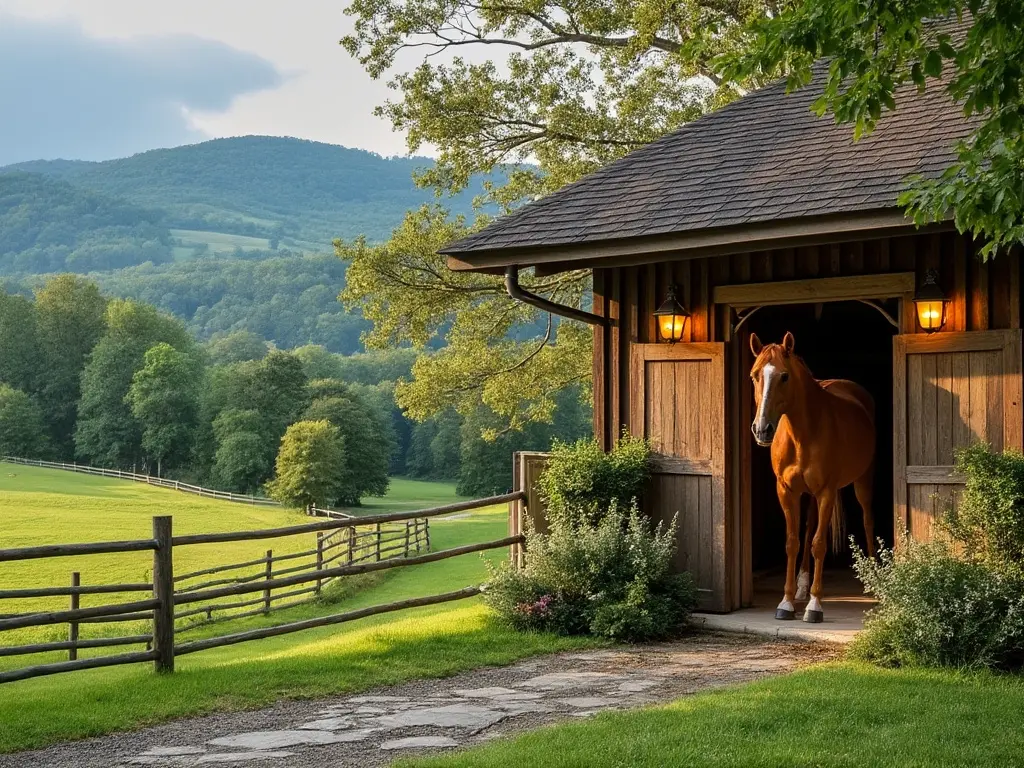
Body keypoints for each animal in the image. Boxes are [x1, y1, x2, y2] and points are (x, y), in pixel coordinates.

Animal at [749, 331, 876, 626]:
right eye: (754, 375)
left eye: (784, 376)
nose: (762, 429)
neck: (802, 433)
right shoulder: (786, 491)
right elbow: (793, 542)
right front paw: (786, 602)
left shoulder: (827, 491)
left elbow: (819, 544)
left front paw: (815, 606)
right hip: (809, 496)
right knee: (807, 529)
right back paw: (802, 585)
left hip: (862, 481)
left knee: (867, 519)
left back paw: (873, 578)